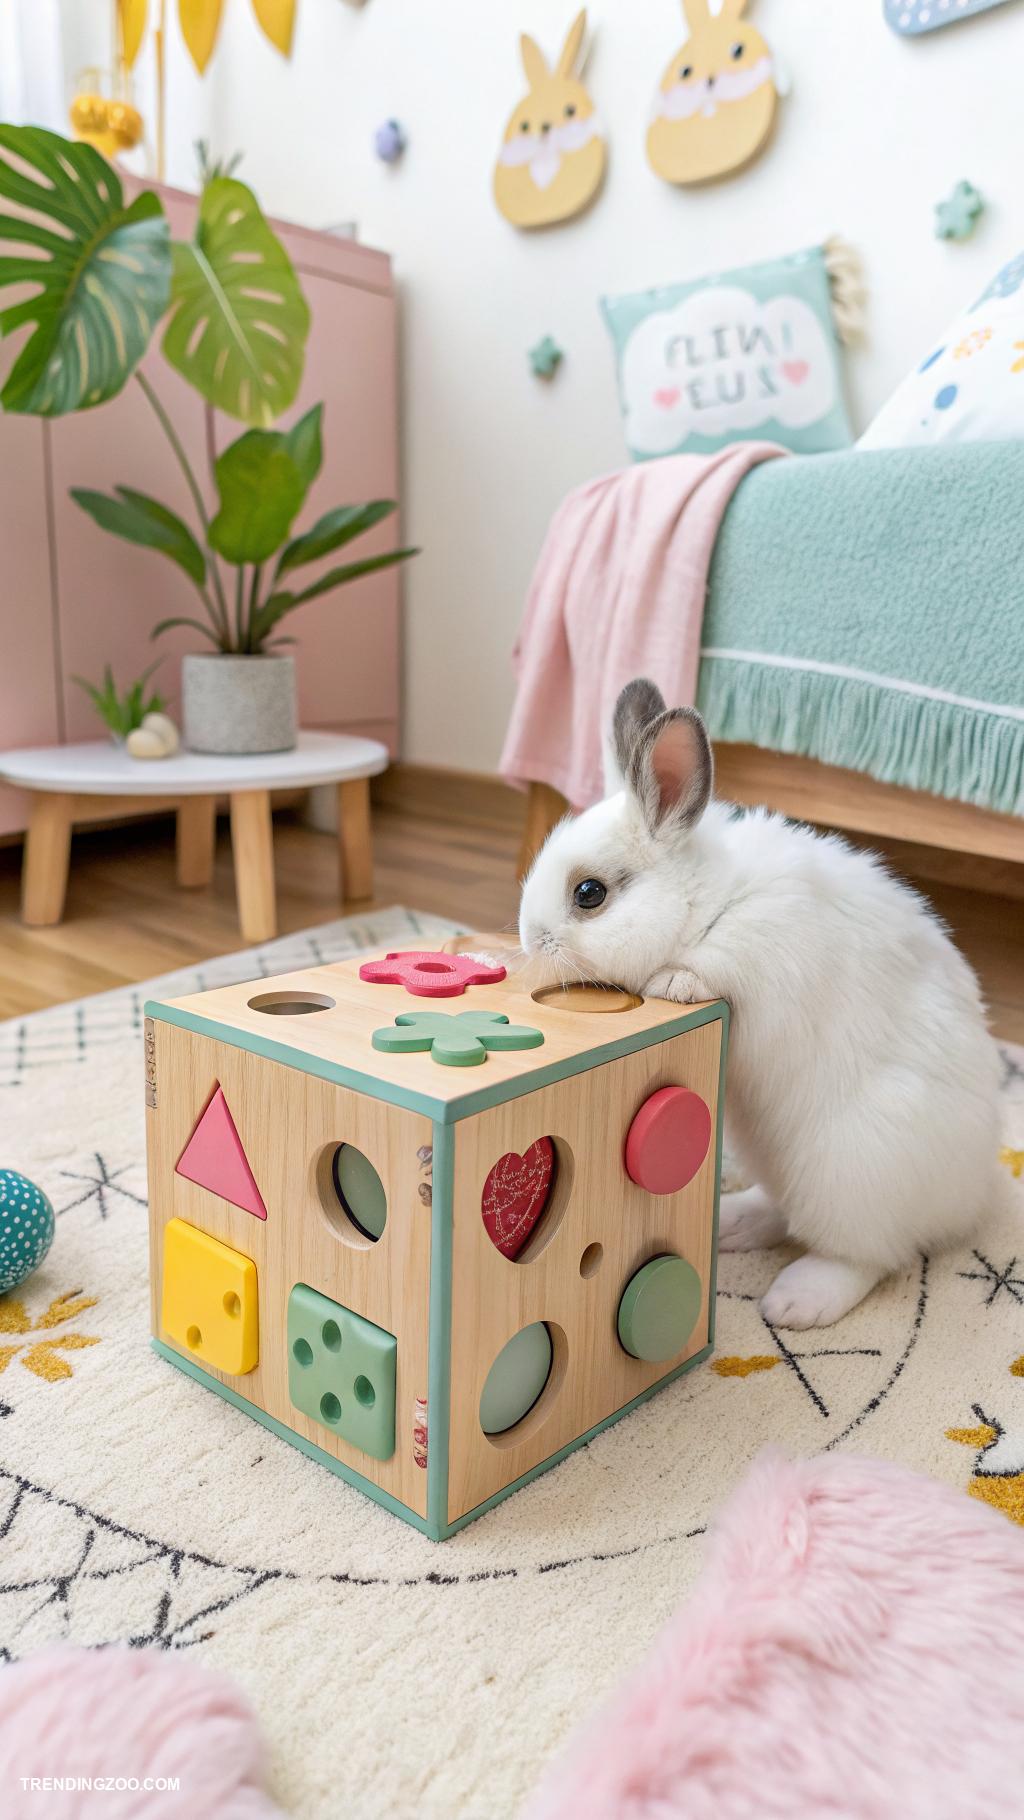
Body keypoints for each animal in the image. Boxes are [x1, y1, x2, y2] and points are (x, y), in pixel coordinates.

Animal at [518, 678, 1002, 1330]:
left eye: (589, 893)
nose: (528, 939)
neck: (706, 904)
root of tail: (972, 1196)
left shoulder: (761, 949)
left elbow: (711, 971)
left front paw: (673, 983)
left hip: (852, 1172)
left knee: (863, 1255)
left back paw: (793, 1302)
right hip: (771, 1153)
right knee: (783, 1211)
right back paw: (733, 1226)